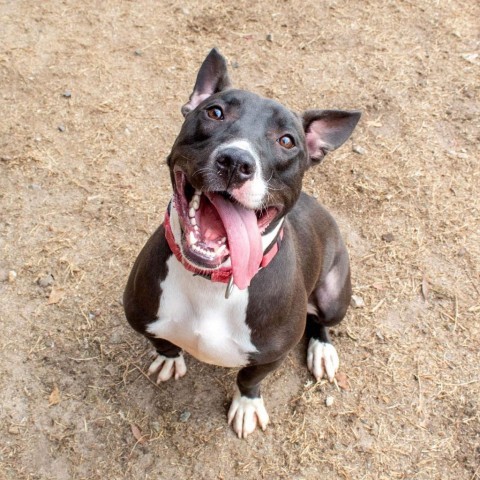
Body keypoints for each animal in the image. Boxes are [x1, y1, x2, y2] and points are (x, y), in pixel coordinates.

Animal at [124, 48, 360, 438]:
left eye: (286, 140)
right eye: (215, 112)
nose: (236, 161)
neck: (210, 280)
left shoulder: (271, 354)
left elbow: (250, 379)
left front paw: (247, 405)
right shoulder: (141, 316)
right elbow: (162, 341)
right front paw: (169, 358)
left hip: (333, 294)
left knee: (321, 321)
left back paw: (322, 350)